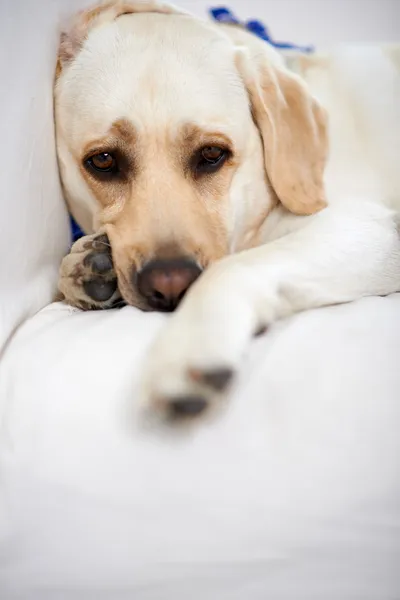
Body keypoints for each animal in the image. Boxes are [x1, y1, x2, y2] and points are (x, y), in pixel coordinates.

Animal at [55, 0, 400, 420]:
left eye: (211, 154)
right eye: (103, 161)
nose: (170, 285)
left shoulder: (363, 227)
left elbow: (230, 269)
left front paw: (190, 348)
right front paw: (88, 266)